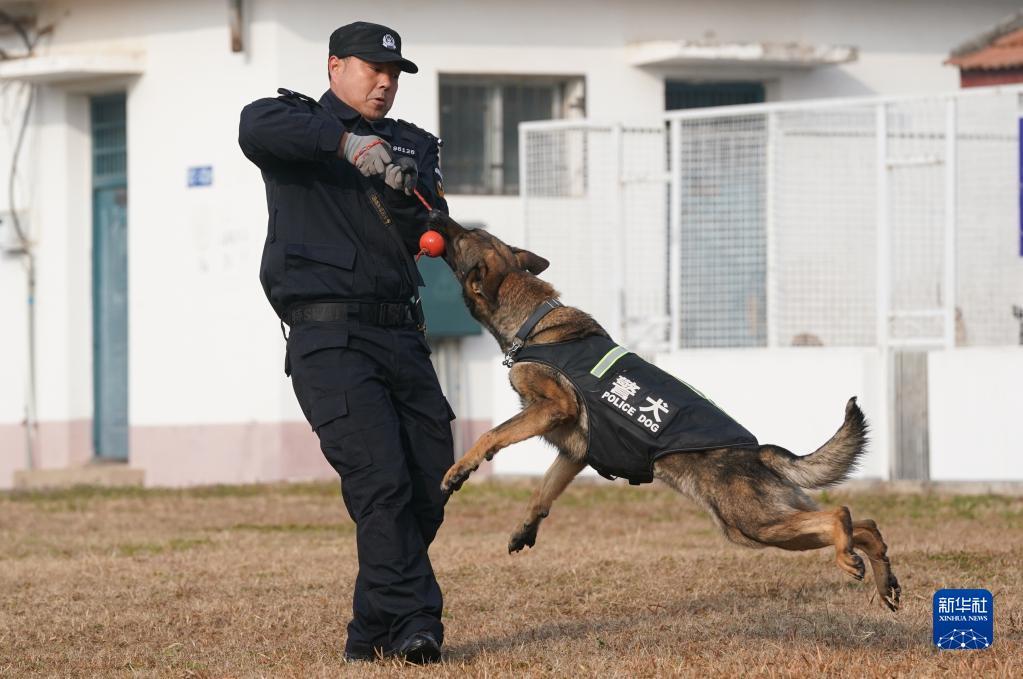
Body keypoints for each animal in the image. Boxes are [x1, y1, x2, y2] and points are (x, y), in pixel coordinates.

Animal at [431, 213, 904, 609]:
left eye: (463, 237)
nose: (438, 213)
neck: (535, 322)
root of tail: (758, 452)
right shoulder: (575, 452)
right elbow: (542, 492)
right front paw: (525, 529)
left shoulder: (554, 408)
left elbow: (491, 434)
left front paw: (458, 470)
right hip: (766, 525)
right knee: (866, 525)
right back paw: (882, 578)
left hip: (752, 523)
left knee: (840, 515)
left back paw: (852, 558)